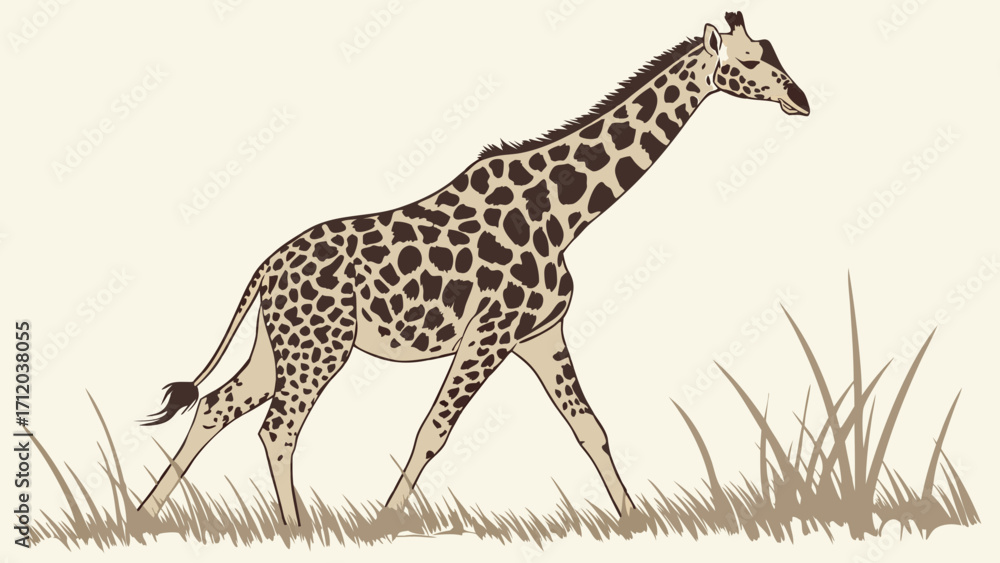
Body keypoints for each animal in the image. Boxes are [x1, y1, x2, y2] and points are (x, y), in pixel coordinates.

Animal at [137, 11, 809, 526]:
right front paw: (384, 523)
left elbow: (590, 428)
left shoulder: (540, 334)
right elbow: (433, 431)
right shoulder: (489, 333)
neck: (565, 213)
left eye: (773, 51)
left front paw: (633, 520)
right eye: (751, 61)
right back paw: (296, 530)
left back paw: (145, 514)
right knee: (277, 427)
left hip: (279, 344)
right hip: (319, 346)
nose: (799, 99)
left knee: (216, 405)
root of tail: (266, 267)